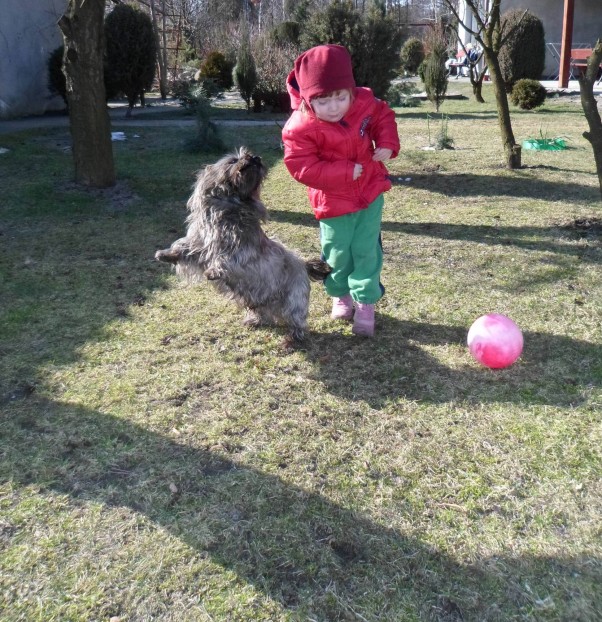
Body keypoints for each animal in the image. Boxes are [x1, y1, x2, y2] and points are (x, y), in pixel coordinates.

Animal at [155, 149, 328, 348]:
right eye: (232, 160)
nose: (255, 158)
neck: (230, 205)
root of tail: (304, 265)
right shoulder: (201, 244)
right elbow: (184, 247)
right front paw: (166, 254)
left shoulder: (241, 249)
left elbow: (226, 258)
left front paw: (214, 271)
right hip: (259, 297)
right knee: (264, 312)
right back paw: (255, 321)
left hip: (293, 299)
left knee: (296, 320)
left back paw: (292, 339)